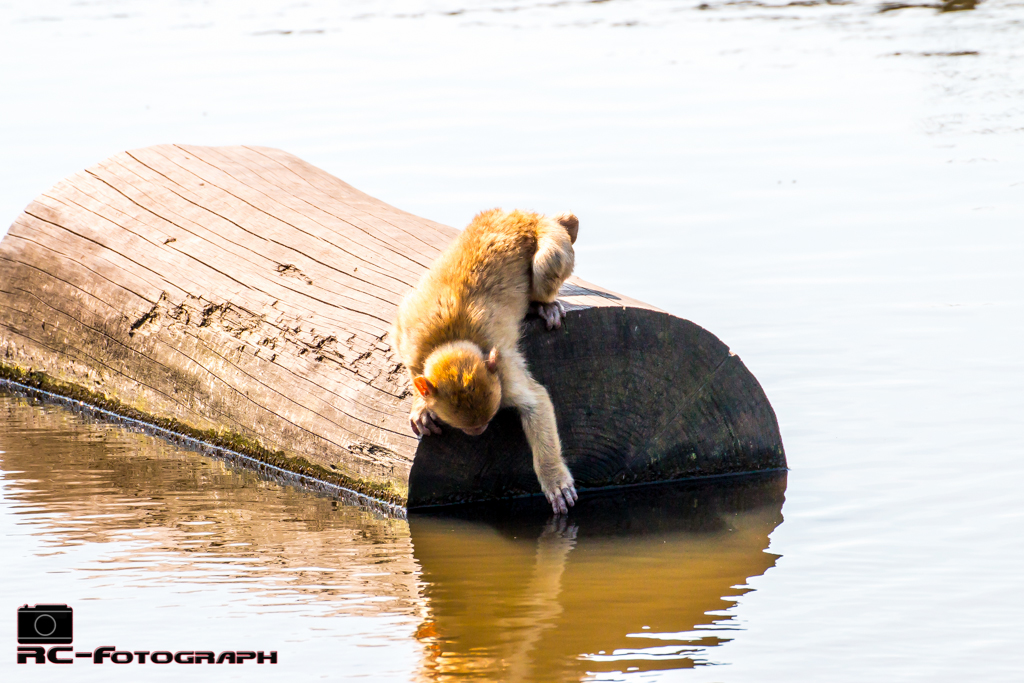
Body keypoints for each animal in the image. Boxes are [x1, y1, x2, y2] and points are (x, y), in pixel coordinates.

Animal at [393, 208, 581, 511]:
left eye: (484, 423)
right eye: (470, 427)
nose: (478, 431)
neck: (450, 341)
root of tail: (521, 215)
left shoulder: (503, 370)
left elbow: (536, 402)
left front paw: (553, 477)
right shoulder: (407, 339)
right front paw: (420, 404)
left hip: (550, 236)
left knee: (547, 261)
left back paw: (543, 305)